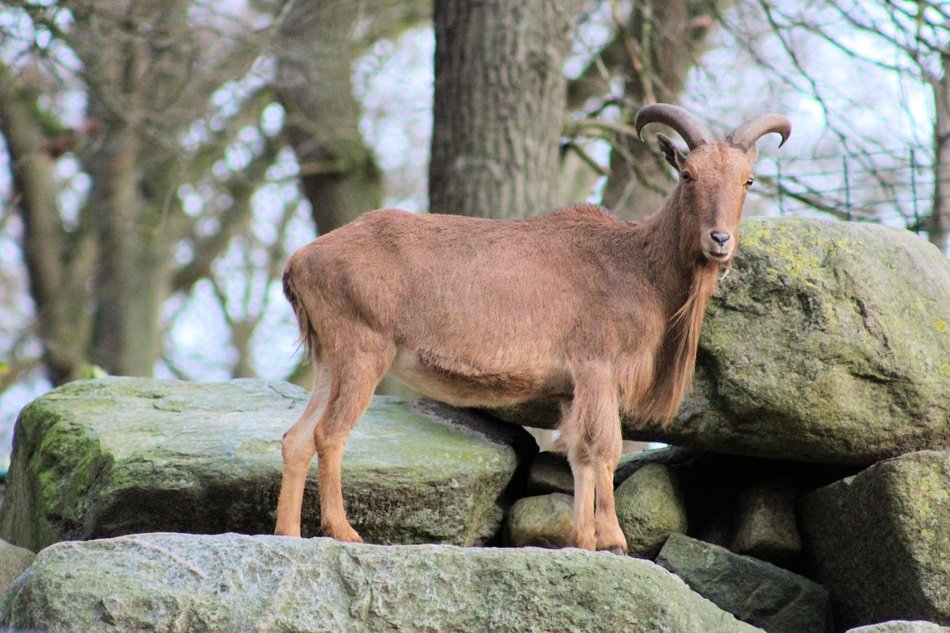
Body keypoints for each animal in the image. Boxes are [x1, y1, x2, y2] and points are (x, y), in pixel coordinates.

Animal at [275, 103, 791, 553]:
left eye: (747, 180)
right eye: (688, 175)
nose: (719, 240)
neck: (638, 263)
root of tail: (300, 260)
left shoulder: (570, 388)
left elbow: (579, 453)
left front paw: (583, 540)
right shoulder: (598, 368)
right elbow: (604, 448)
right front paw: (614, 542)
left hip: (330, 360)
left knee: (297, 438)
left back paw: (287, 534)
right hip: (363, 351)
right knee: (330, 434)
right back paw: (343, 531)